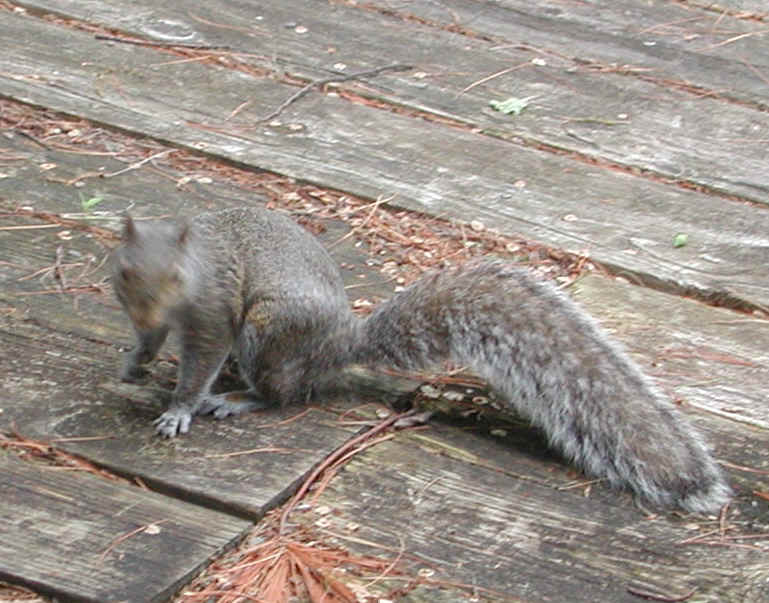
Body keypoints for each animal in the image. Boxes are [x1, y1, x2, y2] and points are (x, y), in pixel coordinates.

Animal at [112, 206, 732, 513]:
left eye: (179, 275)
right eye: (123, 270)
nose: (146, 310)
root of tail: (340, 344)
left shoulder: (215, 311)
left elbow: (202, 360)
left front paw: (179, 408)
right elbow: (152, 341)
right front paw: (136, 362)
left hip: (269, 330)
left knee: (282, 392)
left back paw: (239, 398)